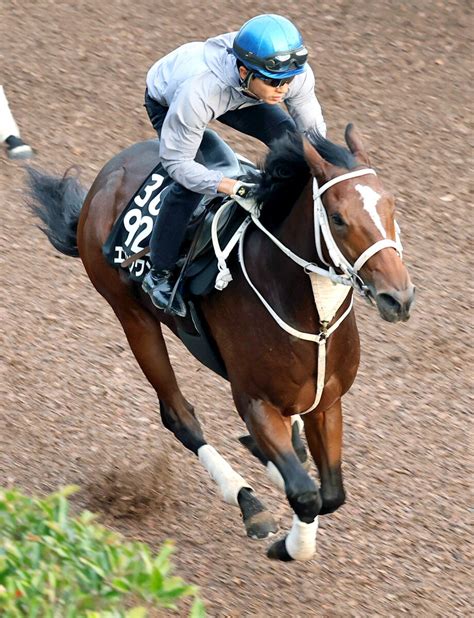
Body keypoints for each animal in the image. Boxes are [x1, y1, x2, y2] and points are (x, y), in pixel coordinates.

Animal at [26, 122, 414, 560]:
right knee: (179, 417)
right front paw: (286, 545)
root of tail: (108, 173)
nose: (398, 298)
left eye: (391, 207)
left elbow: (330, 494)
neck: (315, 319)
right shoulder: (255, 401)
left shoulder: (326, 401)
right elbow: (307, 495)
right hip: (133, 317)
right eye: (338, 218)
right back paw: (248, 500)